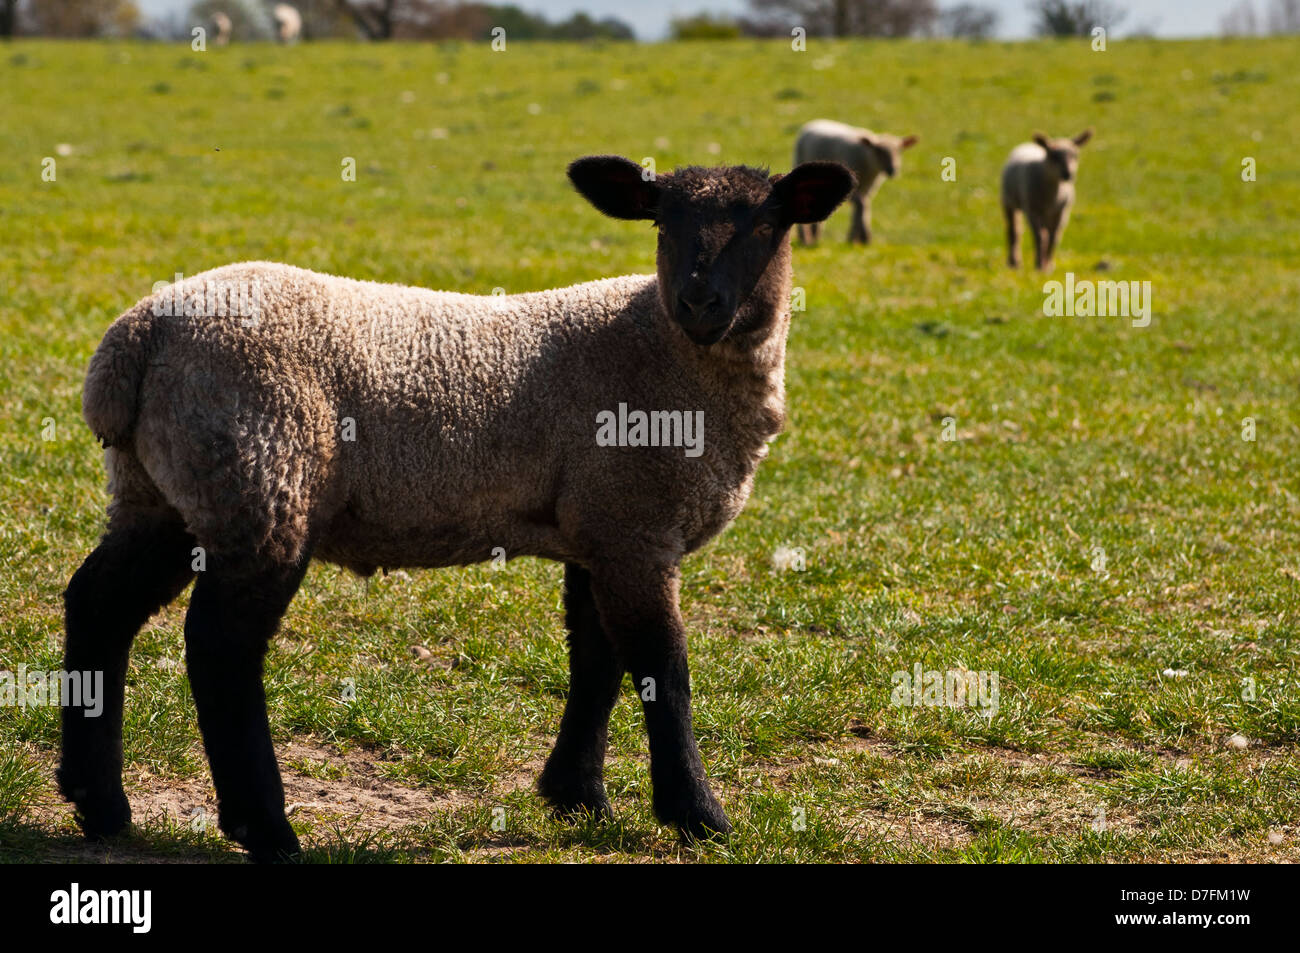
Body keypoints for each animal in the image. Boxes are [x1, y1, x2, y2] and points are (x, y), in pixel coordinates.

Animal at [61, 154, 857, 852]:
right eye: (662, 221)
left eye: (769, 224)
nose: (698, 302)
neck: (664, 350)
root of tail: (137, 337)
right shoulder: (637, 525)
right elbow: (664, 668)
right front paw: (698, 815)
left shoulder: (597, 526)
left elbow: (595, 662)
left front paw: (578, 796)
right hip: (264, 480)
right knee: (221, 647)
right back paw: (267, 829)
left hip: (166, 494)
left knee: (98, 603)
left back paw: (100, 803)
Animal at [785, 117, 920, 245]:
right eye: (878, 150)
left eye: (899, 150)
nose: (893, 170)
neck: (868, 159)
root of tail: (815, 121)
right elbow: (861, 205)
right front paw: (861, 237)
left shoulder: (868, 188)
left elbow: (864, 205)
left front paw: (857, 237)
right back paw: (806, 238)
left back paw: (814, 235)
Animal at [998, 128, 1092, 269]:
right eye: (1053, 155)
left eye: (1076, 155)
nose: (1068, 174)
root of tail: (1028, 144)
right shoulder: (1032, 209)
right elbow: (1040, 236)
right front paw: (1039, 264)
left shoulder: (1062, 211)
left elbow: (1054, 237)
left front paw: (1048, 265)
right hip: (1009, 202)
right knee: (1014, 231)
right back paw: (1014, 262)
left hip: (1048, 213)